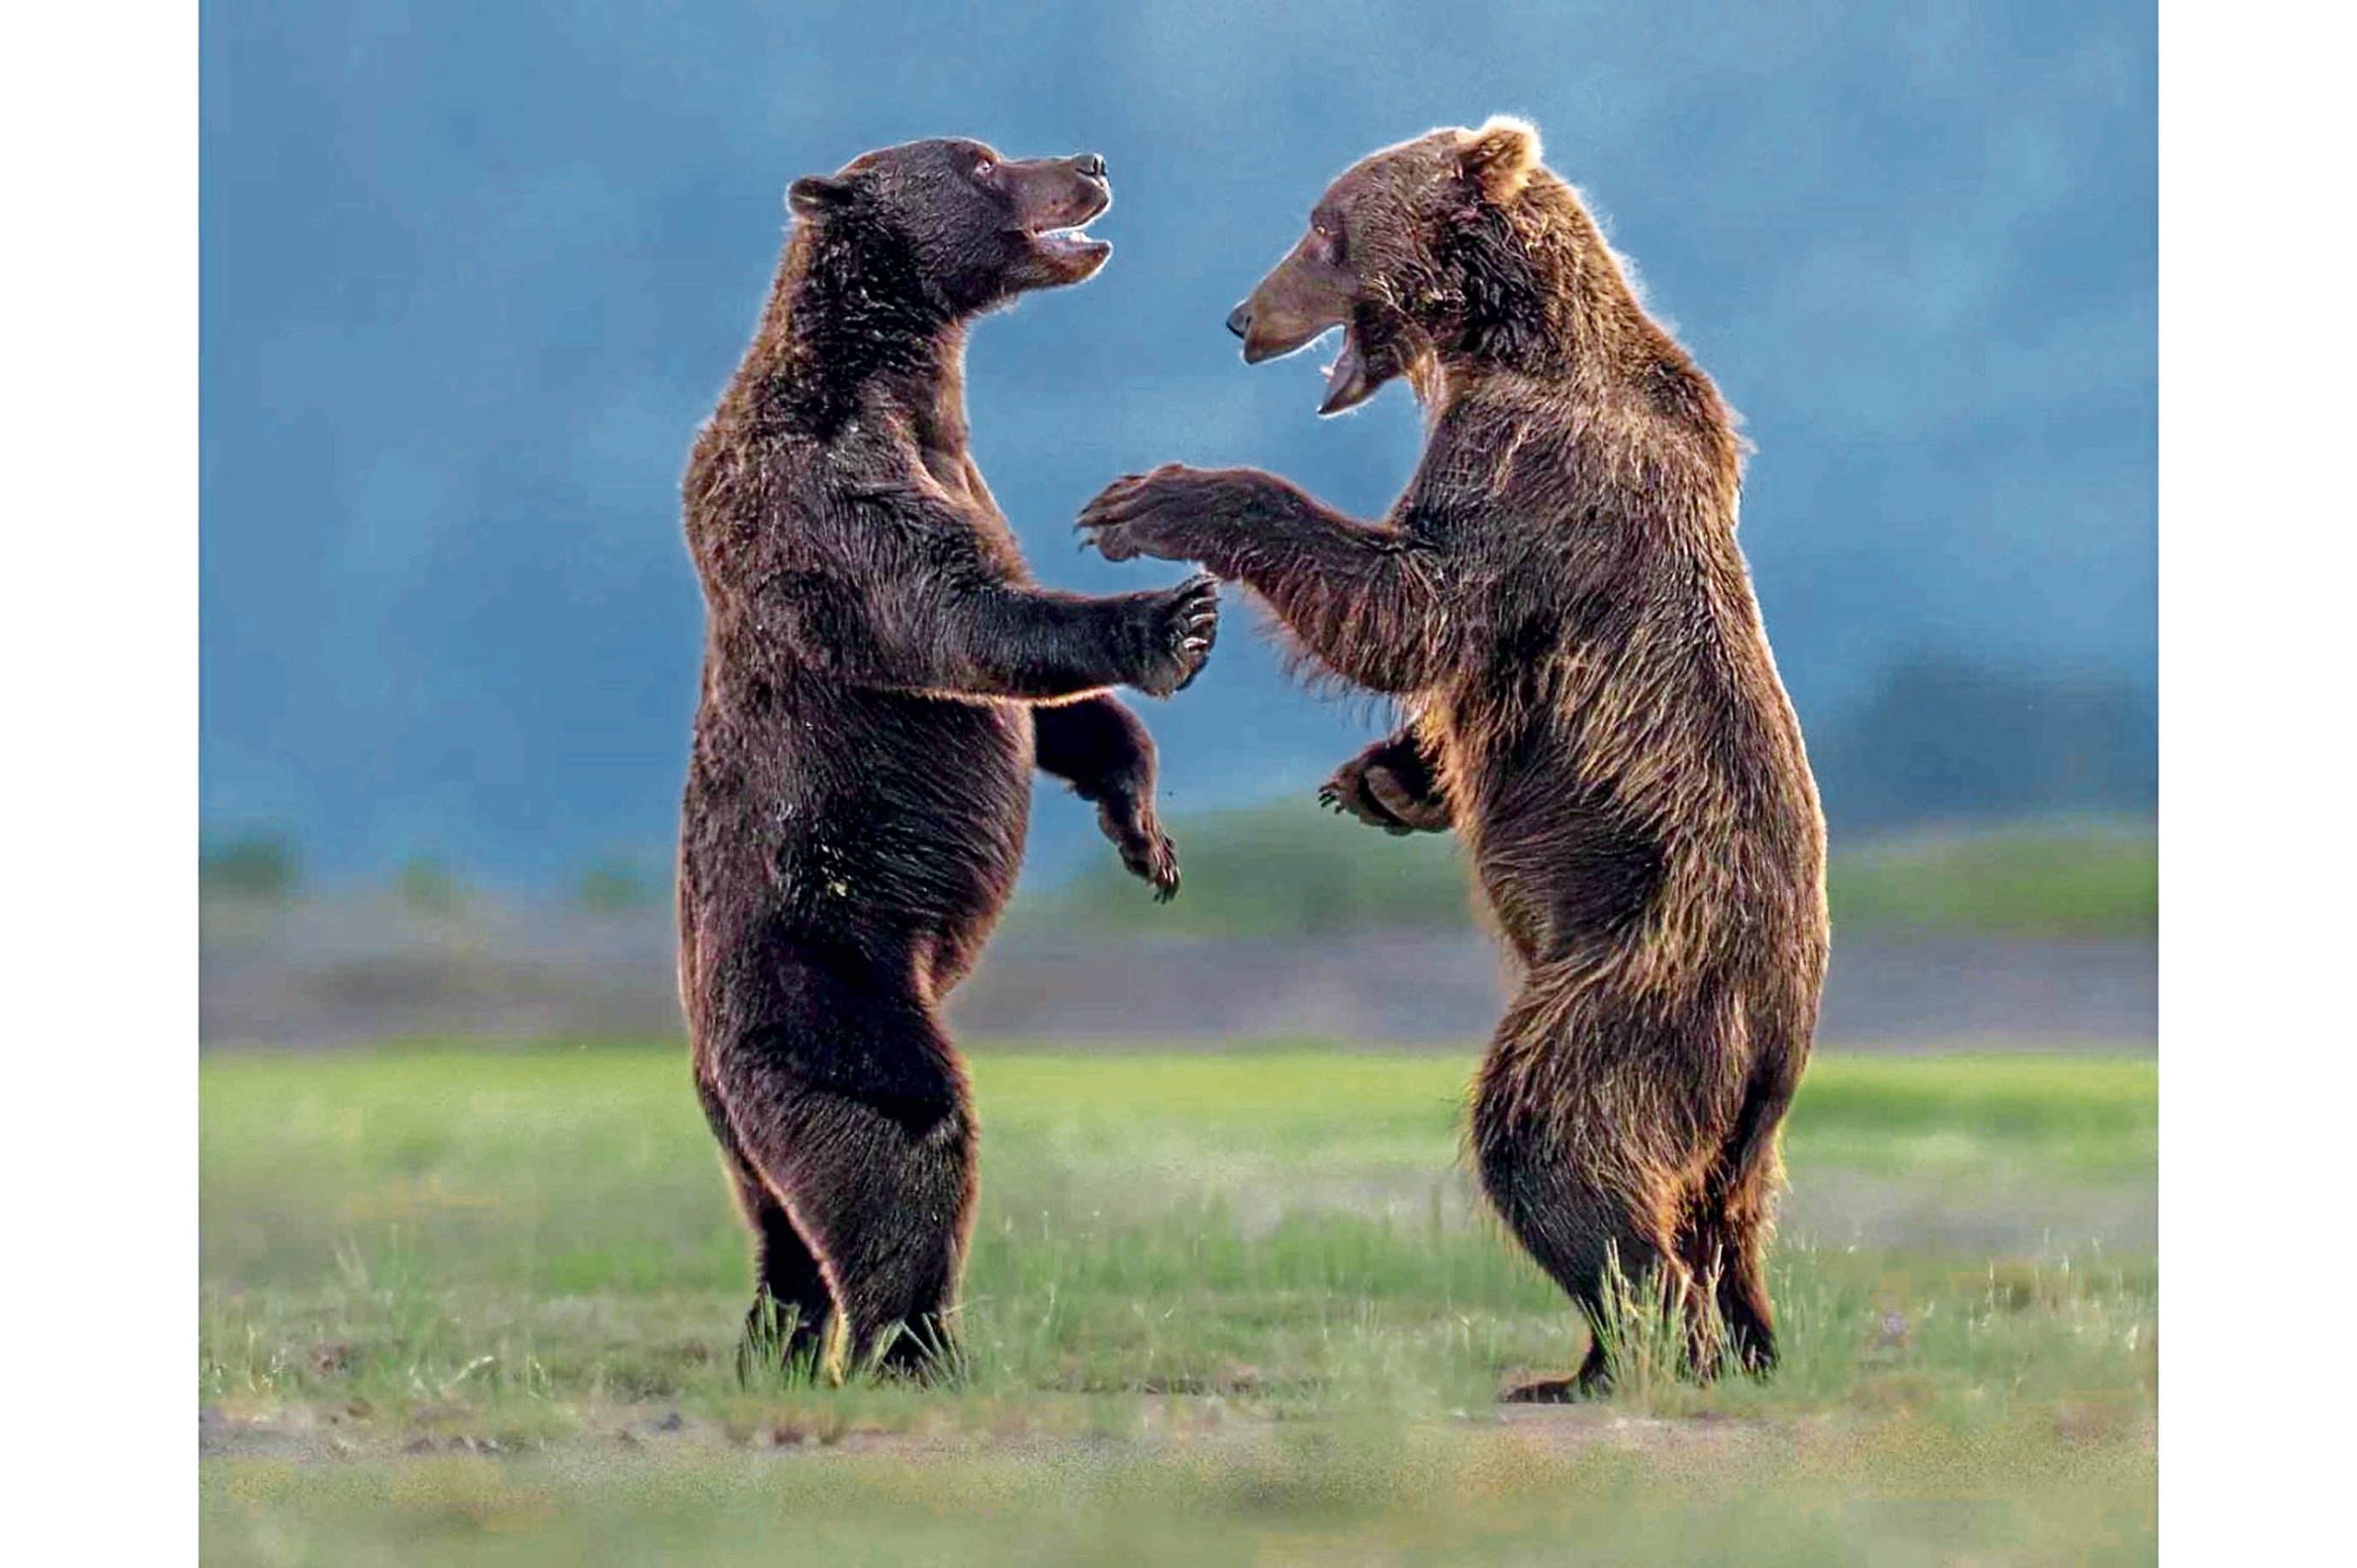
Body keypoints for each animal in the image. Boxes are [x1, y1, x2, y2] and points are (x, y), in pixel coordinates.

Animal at [679, 137, 1219, 1382]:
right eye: (976, 163)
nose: (1091, 159)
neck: (909, 377)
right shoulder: (829, 494)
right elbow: (959, 620)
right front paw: (1171, 621)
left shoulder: (959, 471)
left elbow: (1047, 706)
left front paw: (1144, 831)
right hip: (823, 959)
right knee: (899, 1129)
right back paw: (913, 1342)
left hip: (737, 1096)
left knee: (777, 1217)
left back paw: (779, 1338)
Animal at [1079, 118, 1828, 1397]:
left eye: (1323, 226)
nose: (1239, 315)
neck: (1504, 340)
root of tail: (1780, 1039)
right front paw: (1380, 780)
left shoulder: (1532, 473)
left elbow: (1412, 604)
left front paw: (1152, 497)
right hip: (1731, 1103)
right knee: (1721, 1214)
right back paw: (1721, 1341)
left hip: (1644, 965)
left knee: (1552, 1129)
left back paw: (1626, 1352)